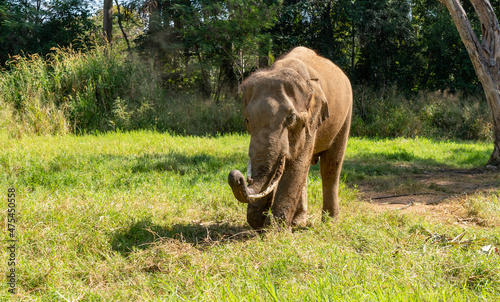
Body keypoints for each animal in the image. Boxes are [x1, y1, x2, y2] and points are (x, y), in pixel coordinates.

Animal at [228, 46, 352, 228]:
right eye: (247, 120)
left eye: (291, 118)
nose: (236, 176)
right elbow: (292, 168)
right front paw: (263, 223)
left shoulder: (310, 121)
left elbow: (295, 166)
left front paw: (275, 229)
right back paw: (297, 222)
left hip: (346, 115)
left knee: (331, 166)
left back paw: (329, 223)